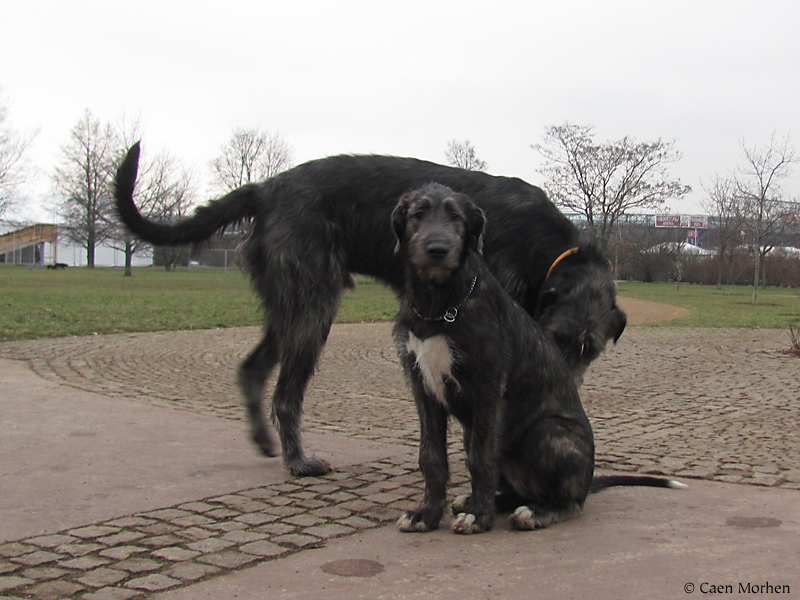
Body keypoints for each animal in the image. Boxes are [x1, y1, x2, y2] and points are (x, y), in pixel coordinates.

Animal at [114, 143, 624, 476]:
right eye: (557, 339)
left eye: (591, 350)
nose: (566, 394)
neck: (547, 248)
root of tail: (267, 187)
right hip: (314, 307)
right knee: (286, 394)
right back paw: (298, 461)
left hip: (291, 305)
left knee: (252, 367)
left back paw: (264, 439)